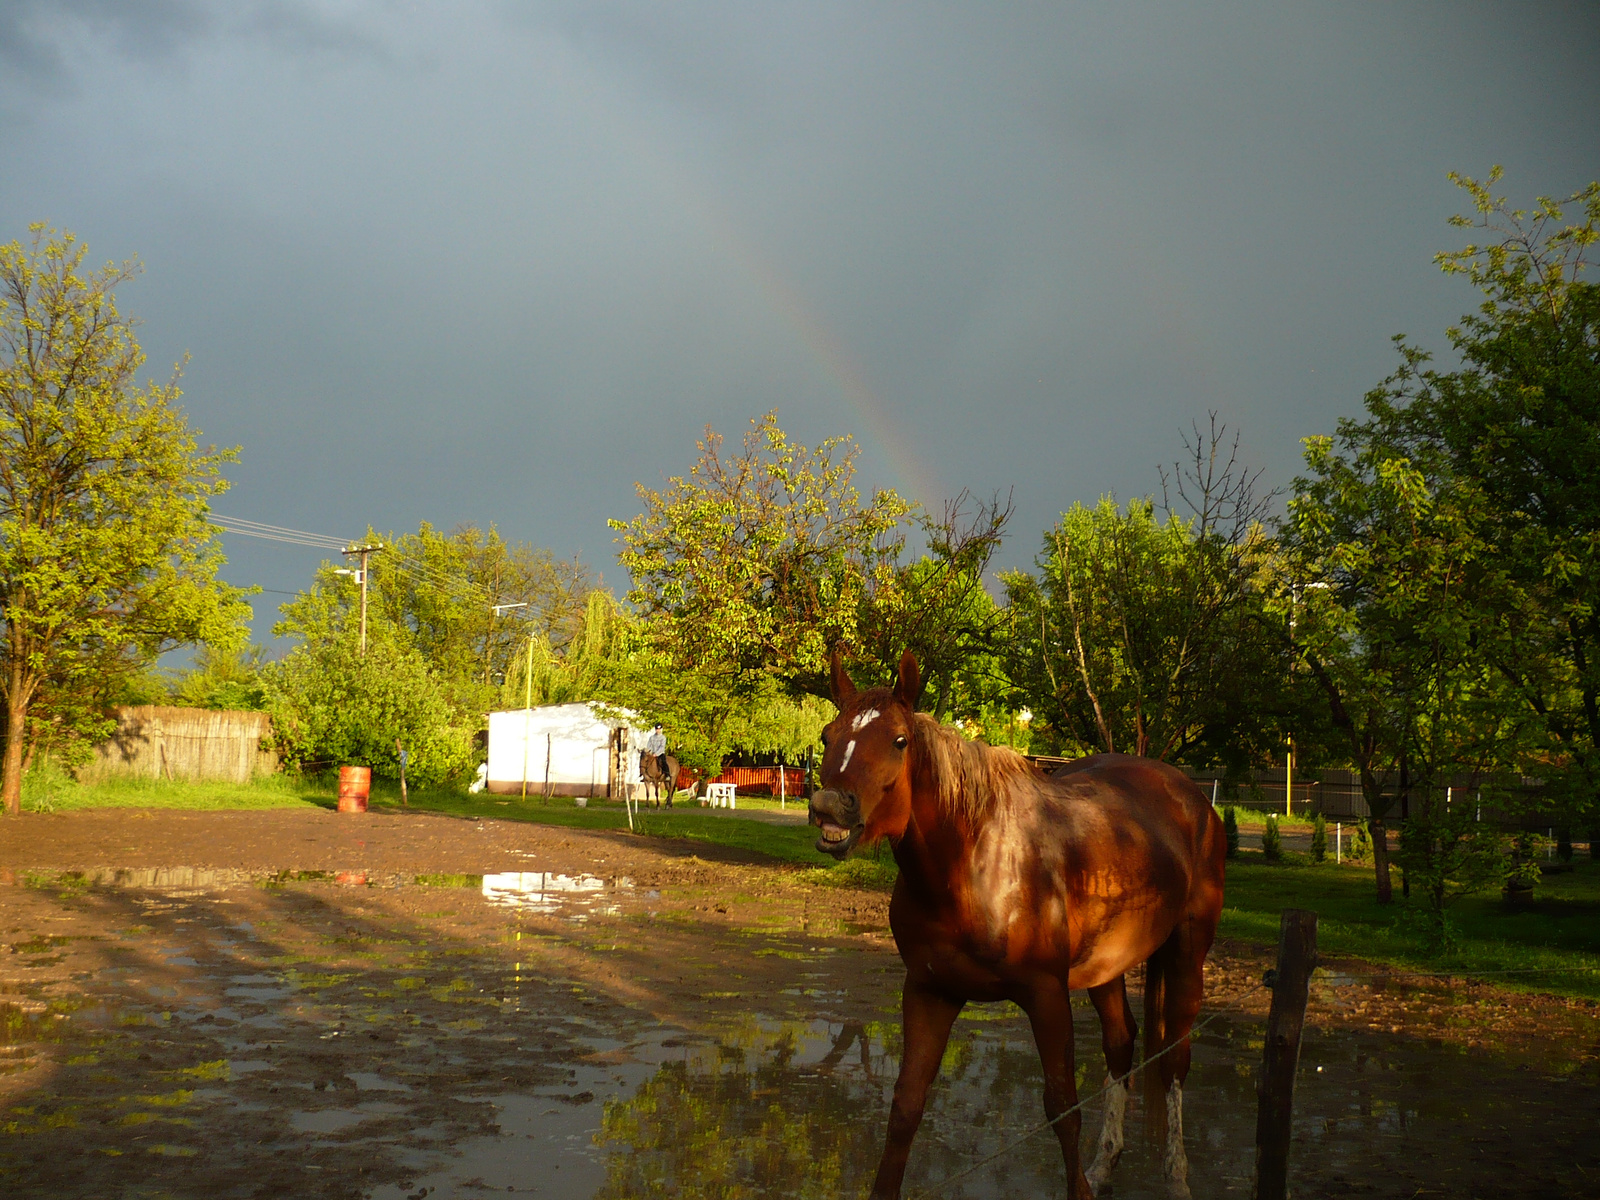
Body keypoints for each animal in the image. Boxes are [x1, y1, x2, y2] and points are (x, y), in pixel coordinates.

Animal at [812, 659, 1222, 1200]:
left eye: (899, 740)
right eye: (827, 735)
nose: (829, 806)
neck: (973, 867)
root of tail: (1193, 798)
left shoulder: (1046, 995)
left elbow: (1063, 1109)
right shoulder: (929, 991)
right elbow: (905, 1106)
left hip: (1187, 952)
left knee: (1175, 1057)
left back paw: (1175, 1176)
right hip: (1107, 966)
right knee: (1120, 1044)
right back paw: (1105, 1163)